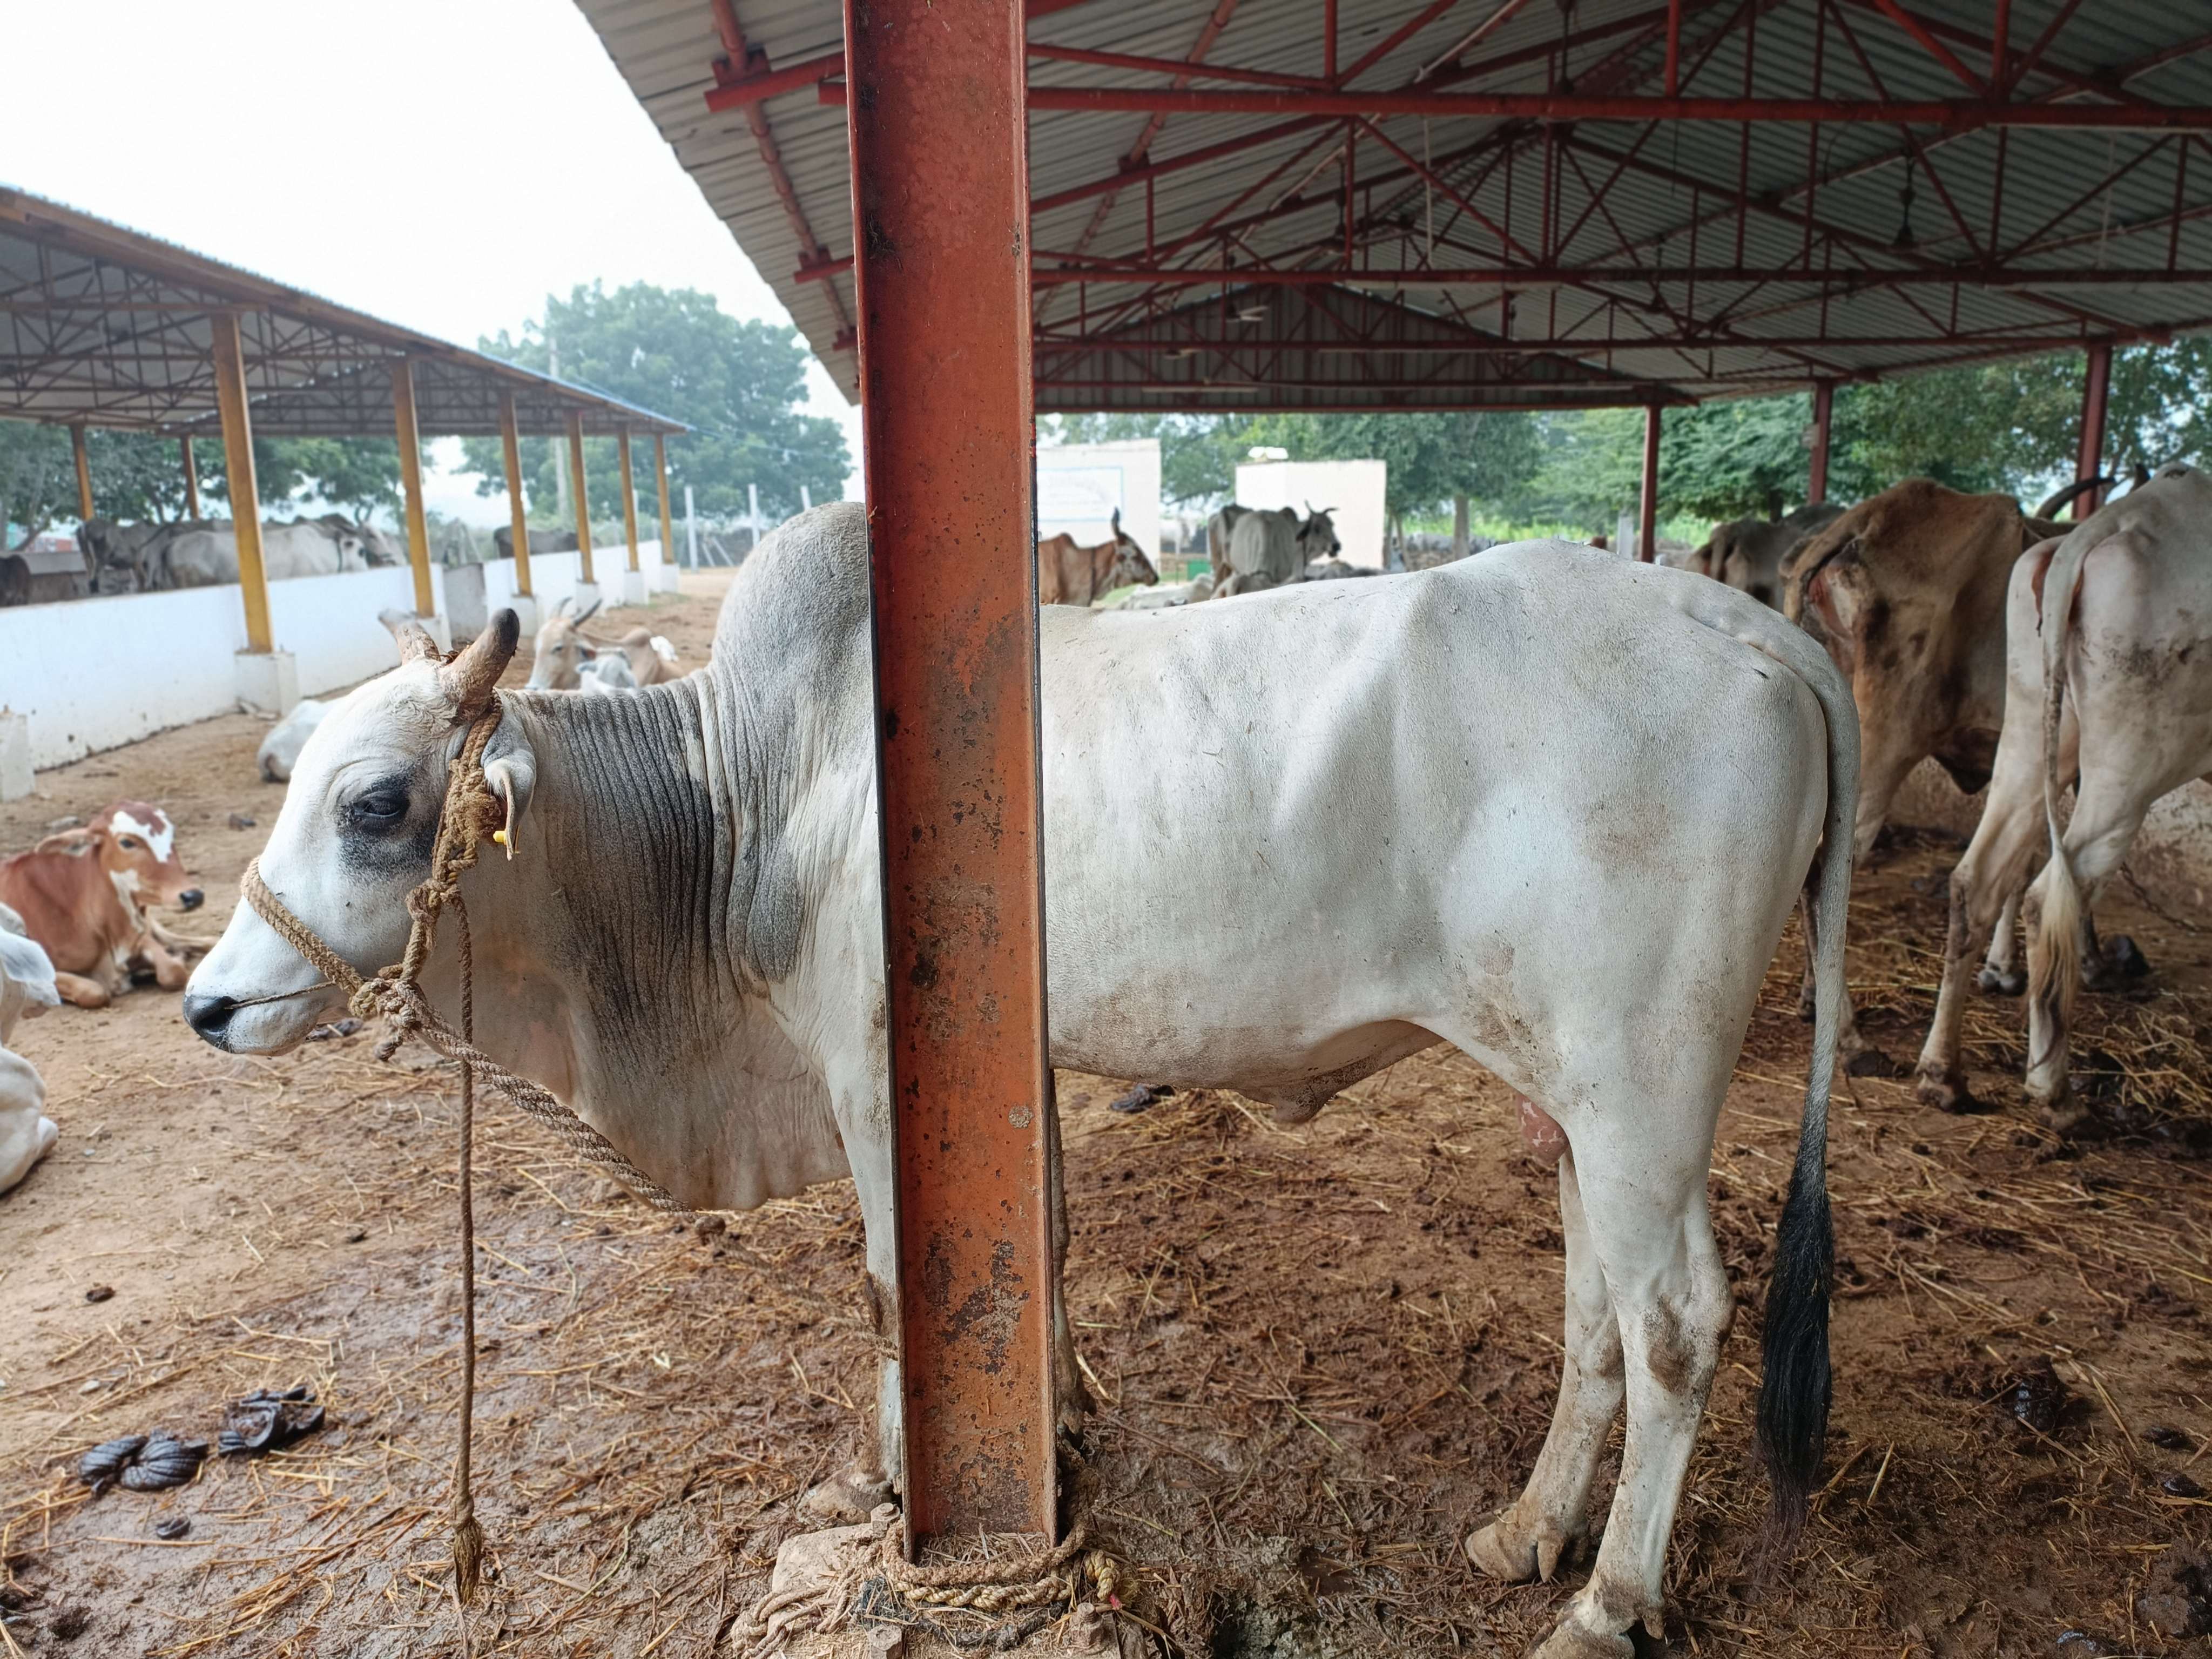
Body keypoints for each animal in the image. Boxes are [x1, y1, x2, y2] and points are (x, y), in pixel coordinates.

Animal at [0, 803, 209, 1008]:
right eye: (127, 842)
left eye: (171, 836)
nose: (193, 896)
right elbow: (93, 991)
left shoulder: (138, 938)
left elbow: (173, 971)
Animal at [1914, 464, 2212, 1126]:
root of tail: (2103, 528)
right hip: (2130, 769)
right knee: (2053, 891)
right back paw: (2051, 1087)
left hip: (2029, 731)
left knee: (1976, 879)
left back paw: (1942, 1074)